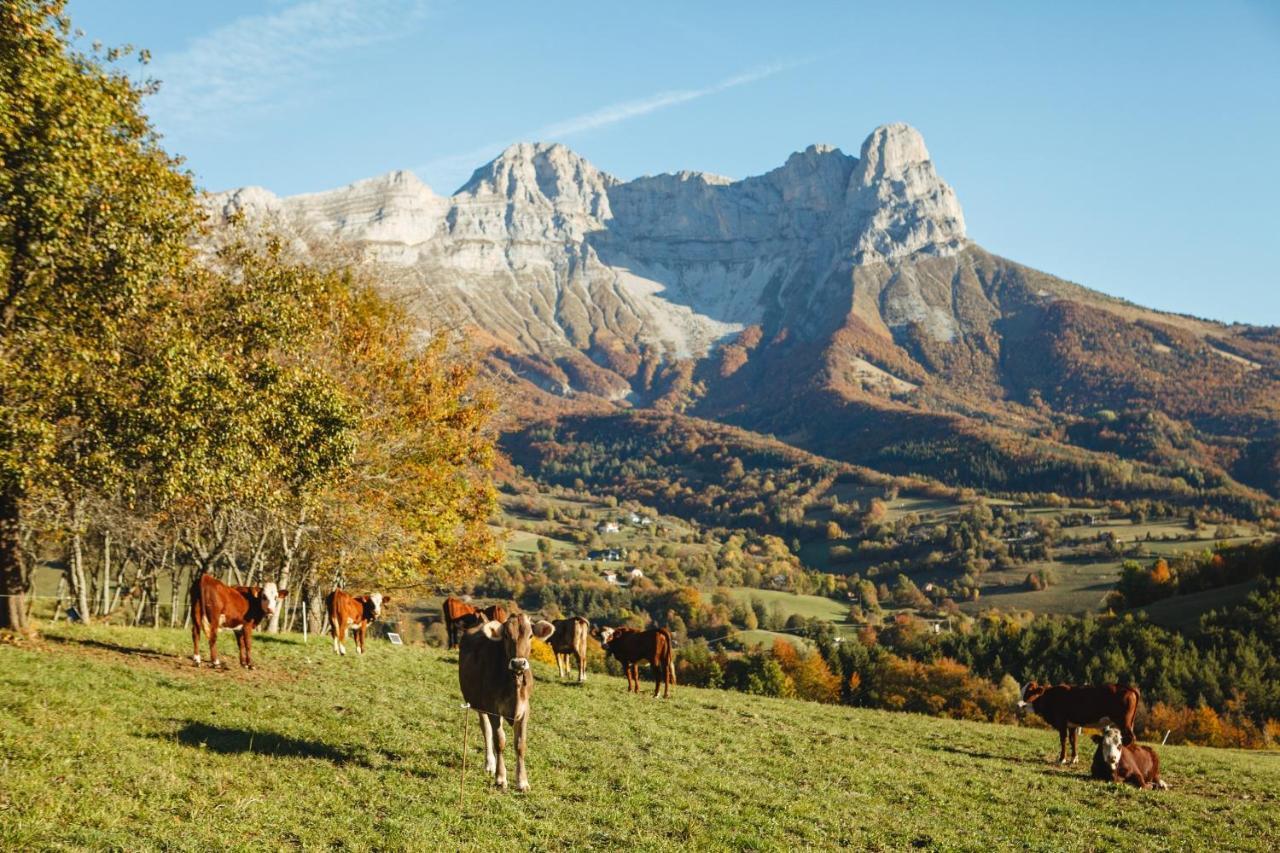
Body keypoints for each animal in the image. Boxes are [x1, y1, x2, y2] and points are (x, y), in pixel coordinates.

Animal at [463, 612, 558, 788]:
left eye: (531, 635)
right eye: (506, 635)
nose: (518, 663)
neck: (514, 684)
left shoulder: (525, 710)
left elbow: (520, 744)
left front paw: (522, 781)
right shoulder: (493, 708)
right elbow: (499, 741)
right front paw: (500, 778)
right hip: (479, 704)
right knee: (486, 731)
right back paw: (490, 764)